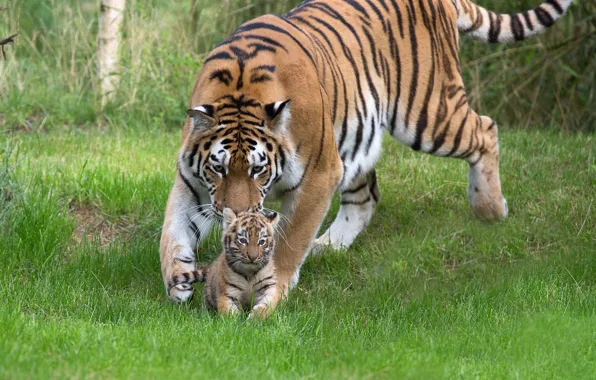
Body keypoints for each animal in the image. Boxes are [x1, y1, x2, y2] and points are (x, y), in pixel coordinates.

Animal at [159, 0, 572, 302]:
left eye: (258, 170)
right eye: (219, 169)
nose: (239, 215)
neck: (239, 88)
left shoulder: (319, 174)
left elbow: (290, 241)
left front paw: (274, 283)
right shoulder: (192, 183)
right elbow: (173, 233)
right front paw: (178, 280)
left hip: (427, 113)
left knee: (485, 129)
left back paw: (489, 209)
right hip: (355, 143)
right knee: (367, 195)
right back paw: (329, 246)